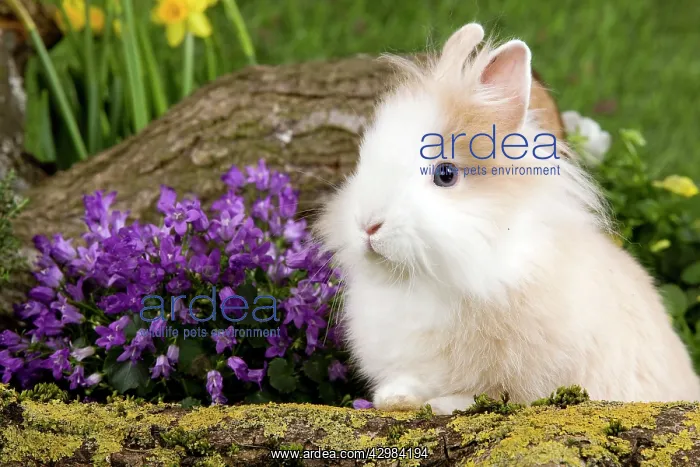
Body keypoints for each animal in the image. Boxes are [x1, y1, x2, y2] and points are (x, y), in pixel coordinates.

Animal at [314, 22, 700, 415]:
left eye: (446, 175)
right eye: (364, 160)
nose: (368, 225)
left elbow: (483, 395)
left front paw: (440, 405)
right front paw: (394, 399)